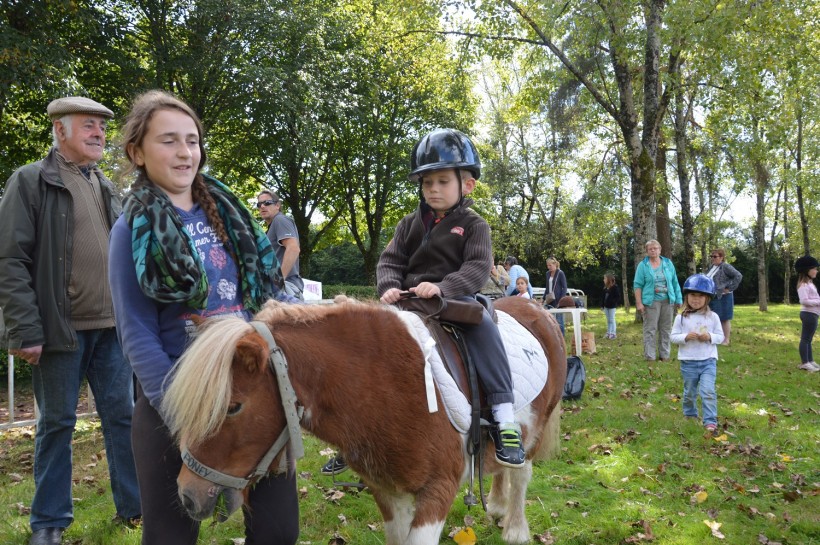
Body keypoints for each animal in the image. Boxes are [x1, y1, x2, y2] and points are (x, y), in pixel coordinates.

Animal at [163, 296, 568, 540]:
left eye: (233, 407)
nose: (187, 496)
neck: (386, 384)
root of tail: (536, 308)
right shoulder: (387, 491)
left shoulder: (437, 490)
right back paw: (497, 507)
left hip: (536, 426)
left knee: (521, 472)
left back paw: (515, 528)